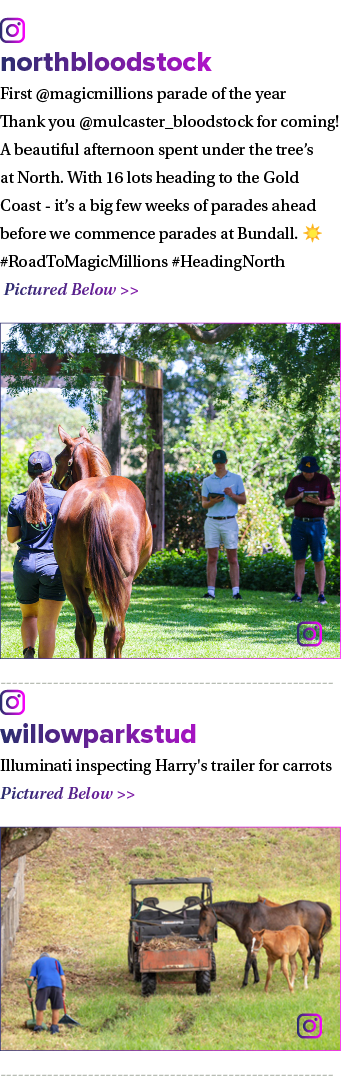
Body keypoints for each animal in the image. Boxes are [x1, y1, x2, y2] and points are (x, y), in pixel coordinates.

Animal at [52, 427, 152, 655]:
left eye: (57, 460)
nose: (52, 482)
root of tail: (98, 496)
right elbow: (121, 634)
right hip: (122, 582)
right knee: (113, 629)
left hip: (71, 581)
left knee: (86, 623)